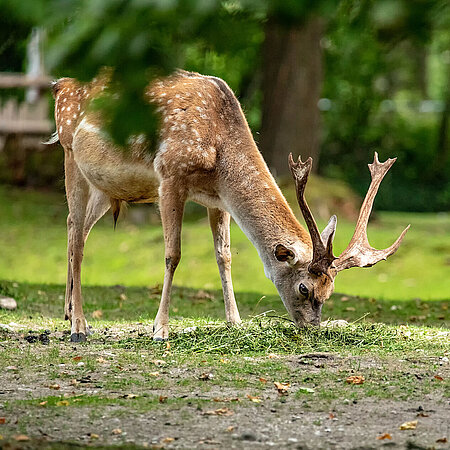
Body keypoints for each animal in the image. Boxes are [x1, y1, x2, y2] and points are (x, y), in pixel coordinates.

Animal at [47, 70, 410, 342]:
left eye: (330, 290)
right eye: (304, 288)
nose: (311, 328)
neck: (220, 155)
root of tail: (58, 85)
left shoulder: (217, 199)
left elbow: (224, 256)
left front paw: (235, 322)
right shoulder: (170, 175)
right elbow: (173, 254)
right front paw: (160, 329)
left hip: (106, 187)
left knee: (73, 227)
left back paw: (67, 312)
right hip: (70, 153)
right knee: (77, 238)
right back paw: (79, 327)